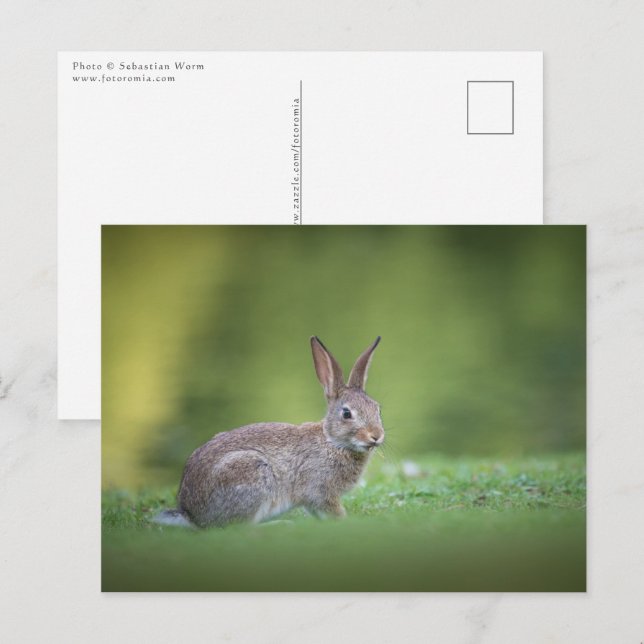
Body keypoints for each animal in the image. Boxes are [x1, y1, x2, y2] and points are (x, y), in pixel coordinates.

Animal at [153, 336, 384, 528]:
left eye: (377, 408)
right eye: (346, 413)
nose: (376, 436)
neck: (332, 442)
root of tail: (191, 514)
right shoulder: (320, 490)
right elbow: (331, 510)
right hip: (251, 475)